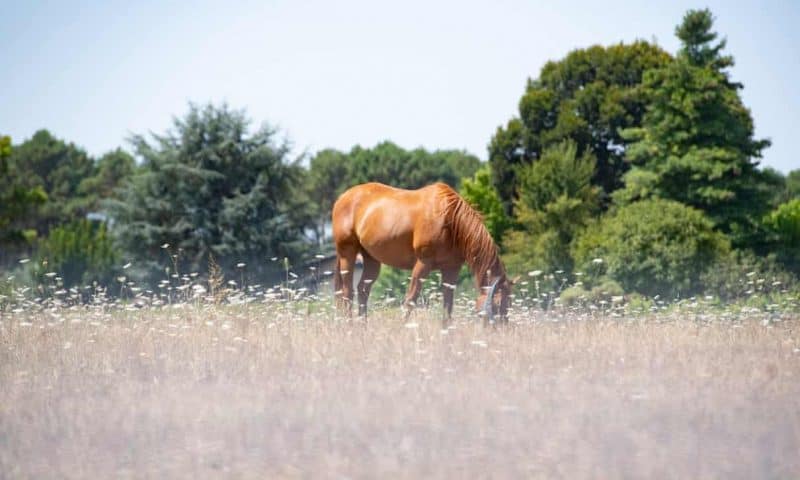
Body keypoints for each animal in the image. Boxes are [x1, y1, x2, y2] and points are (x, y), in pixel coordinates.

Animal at [332, 181, 512, 322]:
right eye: (496, 306)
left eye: (507, 306)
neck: (449, 219)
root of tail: (342, 198)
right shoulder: (423, 264)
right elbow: (410, 300)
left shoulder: (451, 269)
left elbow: (448, 308)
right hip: (347, 254)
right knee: (347, 293)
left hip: (371, 259)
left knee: (363, 290)